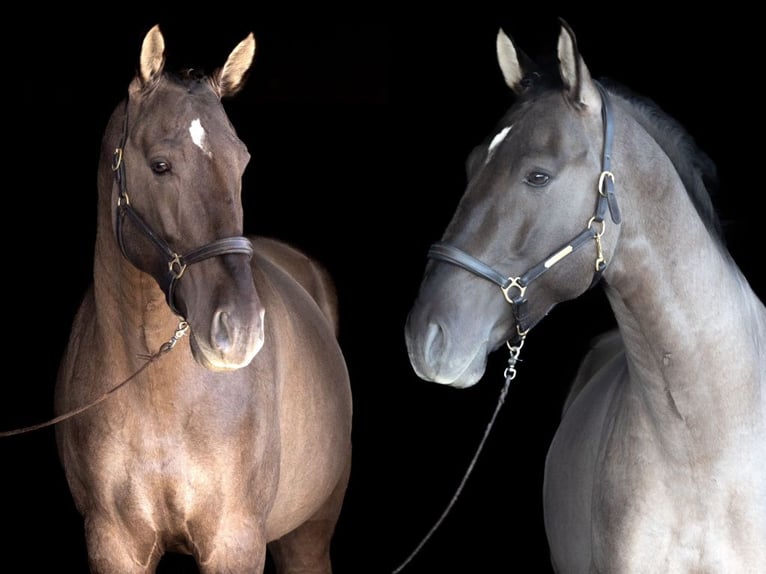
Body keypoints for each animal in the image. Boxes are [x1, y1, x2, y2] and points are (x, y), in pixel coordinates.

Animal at [53, 24, 352, 573]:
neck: (160, 397)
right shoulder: (112, 544)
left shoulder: (234, 541)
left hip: (309, 535)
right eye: (160, 165)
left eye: (242, 161)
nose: (241, 330)